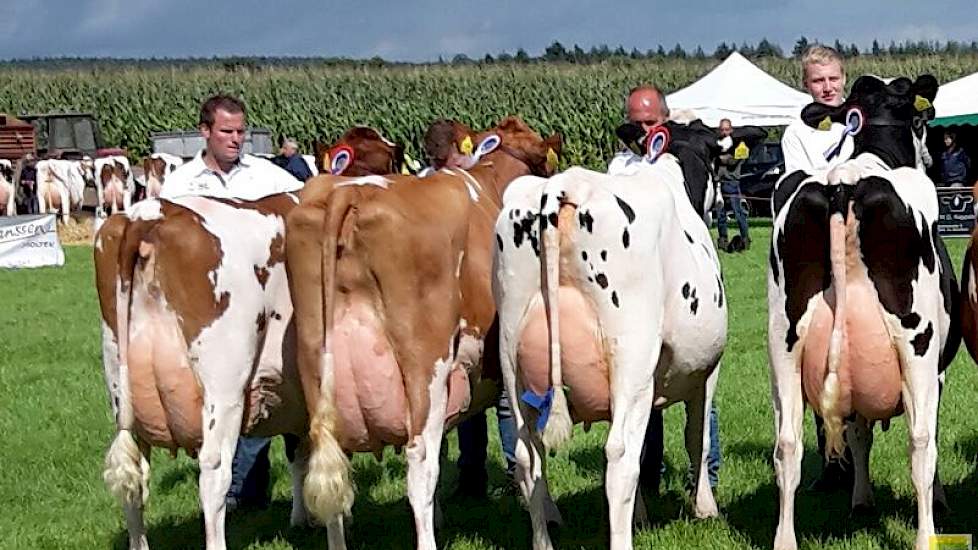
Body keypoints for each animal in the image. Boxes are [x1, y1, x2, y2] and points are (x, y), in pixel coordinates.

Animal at [286, 114, 560, 548]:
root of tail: (349, 194)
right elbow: (527, 447)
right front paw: (545, 519)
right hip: (423, 367)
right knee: (419, 466)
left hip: (316, 364)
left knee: (329, 474)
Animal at [496, 118, 724, 548]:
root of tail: (562, 186)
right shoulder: (705, 369)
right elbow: (696, 436)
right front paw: (705, 508)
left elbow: (650, 438)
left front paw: (643, 515)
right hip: (631, 358)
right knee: (619, 457)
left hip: (511, 357)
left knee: (527, 456)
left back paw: (543, 541)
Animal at [764, 74, 952, 550]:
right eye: (923, 121)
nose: (931, 158)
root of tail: (842, 182)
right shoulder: (938, 369)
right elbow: (925, 435)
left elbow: (858, 432)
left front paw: (861, 500)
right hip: (917, 344)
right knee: (920, 442)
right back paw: (926, 536)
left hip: (782, 345)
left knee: (787, 445)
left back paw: (785, 539)